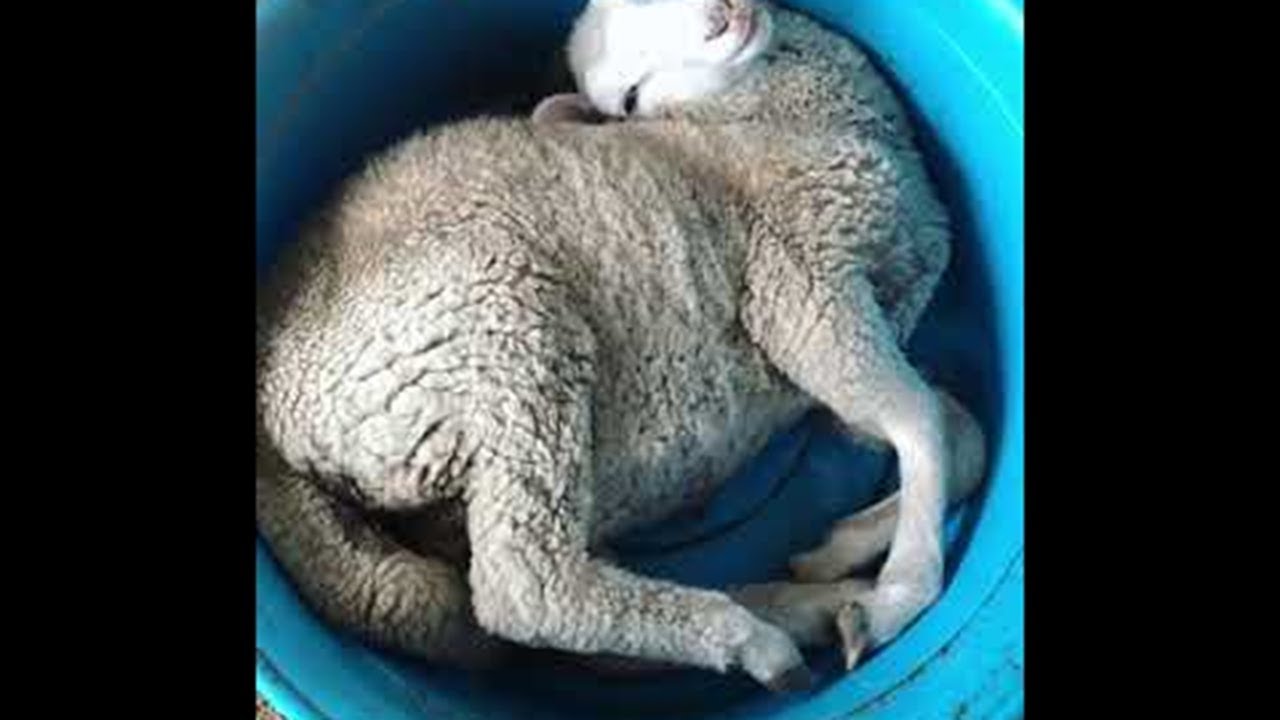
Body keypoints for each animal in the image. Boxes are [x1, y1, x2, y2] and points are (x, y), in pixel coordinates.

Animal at [256, 0, 985, 692]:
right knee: (525, 592)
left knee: (575, 641)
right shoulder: (800, 288)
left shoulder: (885, 308)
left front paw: (842, 548)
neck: (750, 124)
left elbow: (957, 437)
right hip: (503, 334)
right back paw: (757, 639)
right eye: (629, 98)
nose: (722, 17)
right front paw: (900, 592)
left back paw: (803, 607)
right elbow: (921, 422)